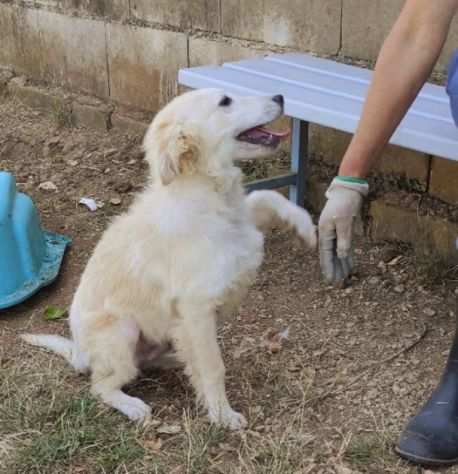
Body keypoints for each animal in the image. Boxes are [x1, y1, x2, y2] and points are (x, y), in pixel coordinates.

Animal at [21, 89, 314, 430]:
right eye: (226, 101)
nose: (280, 96)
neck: (207, 195)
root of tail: (80, 353)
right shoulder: (197, 309)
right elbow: (213, 368)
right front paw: (222, 415)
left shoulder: (242, 220)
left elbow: (266, 196)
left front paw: (308, 227)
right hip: (123, 331)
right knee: (102, 384)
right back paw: (133, 406)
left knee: (152, 360)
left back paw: (176, 360)